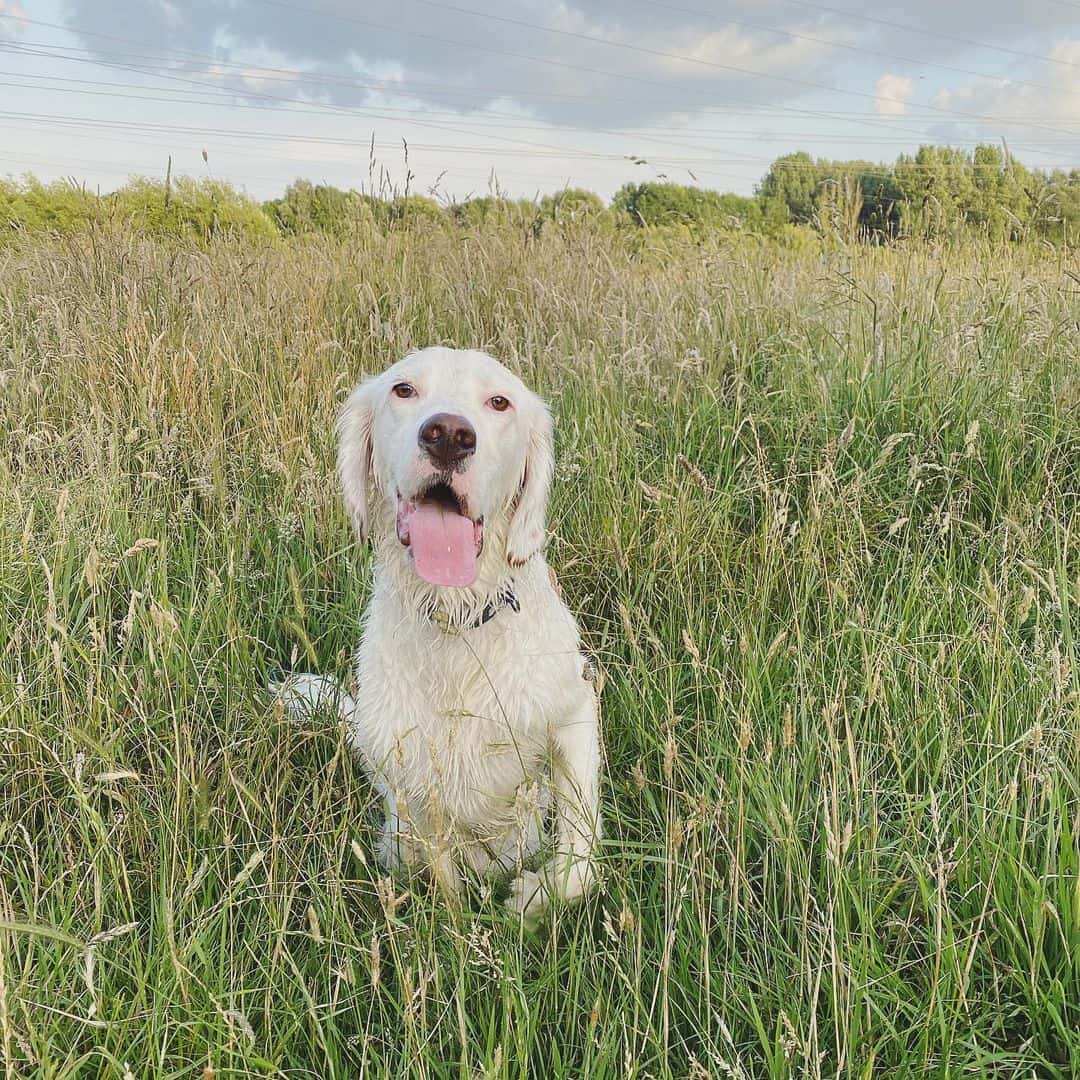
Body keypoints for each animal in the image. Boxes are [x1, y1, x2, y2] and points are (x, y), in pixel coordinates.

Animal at [278, 347, 600, 920]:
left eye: (499, 401)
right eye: (403, 389)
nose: (448, 434)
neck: (458, 621)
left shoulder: (576, 712)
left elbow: (579, 857)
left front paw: (531, 899)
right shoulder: (417, 783)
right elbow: (446, 890)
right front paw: (454, 928)